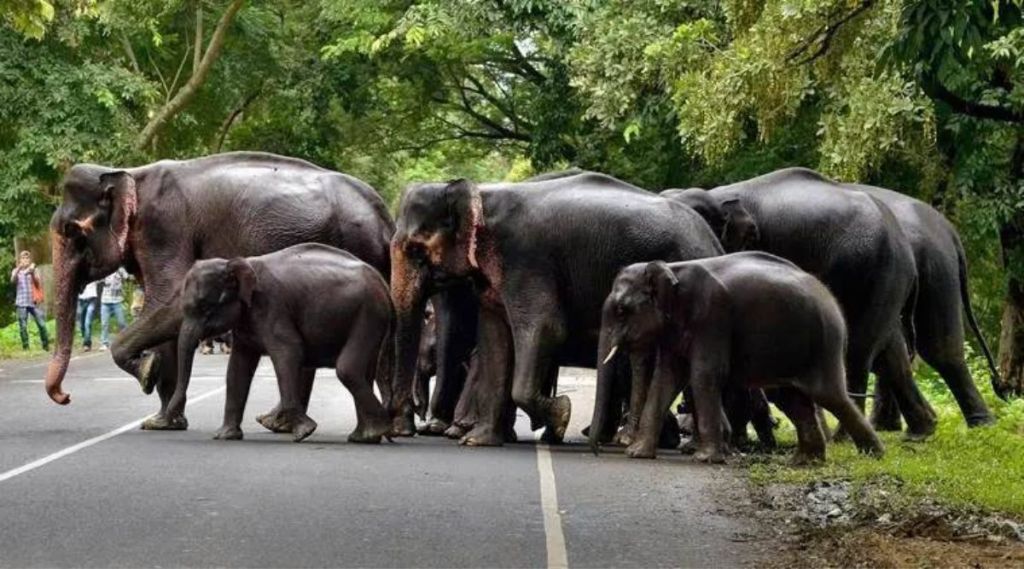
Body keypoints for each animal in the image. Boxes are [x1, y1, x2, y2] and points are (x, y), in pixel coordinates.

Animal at [169, 244, 393, 443]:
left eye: (205, 308)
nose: (177, 419)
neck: (237, 262)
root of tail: (383, 283)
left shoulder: (271, 306)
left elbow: (289, 352)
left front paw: (304, 432)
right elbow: (237, 368)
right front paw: (225, 437)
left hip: (369, 314)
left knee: (347, 369)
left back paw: (381, 429)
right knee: (364, 371)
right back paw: (365, 437)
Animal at [389, 172, 724, 446]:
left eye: (415, 249)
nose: (400, 431)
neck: (481, 193)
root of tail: (712, 240)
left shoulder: (527, 261)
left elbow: (546, 328)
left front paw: (561, 415)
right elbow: (494, 338)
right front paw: (478, 441)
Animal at [592, 254, 885, 464]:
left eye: (622, 310)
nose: (596, 450)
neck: (672, 268)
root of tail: (830, 298)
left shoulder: (713, 317)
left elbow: (705, 375)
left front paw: (705, 459)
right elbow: (666, 379)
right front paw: (637, 454)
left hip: (823, 343)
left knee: (829, 395)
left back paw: (873, 456)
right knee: (791, 398)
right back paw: (804, 461)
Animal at [662, 167, 937, 440]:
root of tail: (906, 250)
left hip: (875, 275)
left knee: (859, 352)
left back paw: (843, 438)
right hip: (887, 282)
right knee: (891, 351)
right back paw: (922, 430)